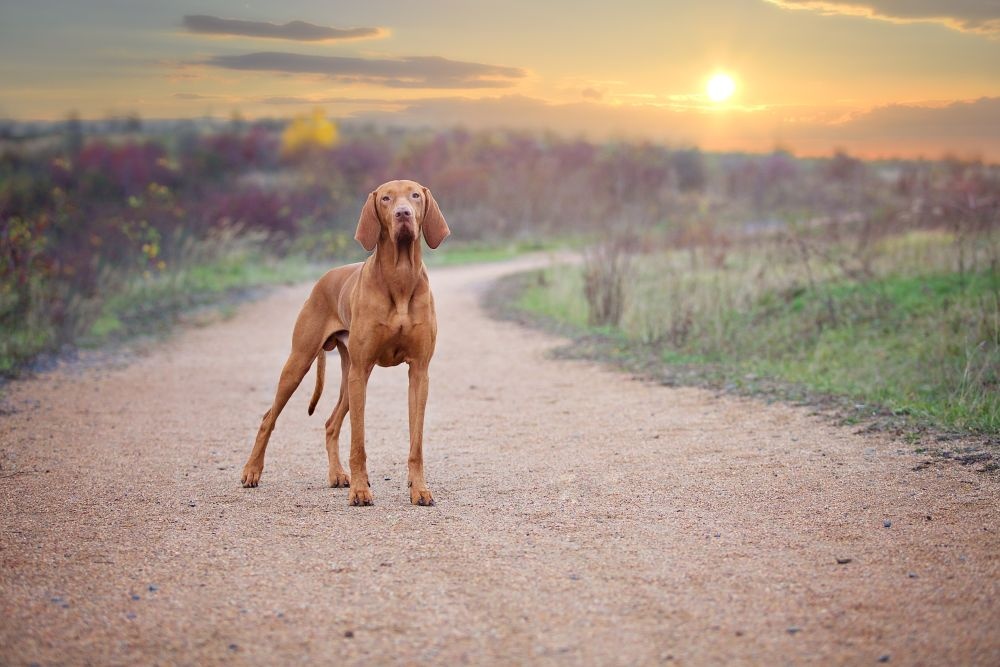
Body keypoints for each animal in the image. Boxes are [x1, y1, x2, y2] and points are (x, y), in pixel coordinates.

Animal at [240, 179, 448, 506]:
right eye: (386, 198)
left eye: (415, 195)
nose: (403, 214)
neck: (401, 276)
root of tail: (325, 277)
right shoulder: (361, 372)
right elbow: (358, 443)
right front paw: (361, 490)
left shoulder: (419, 373)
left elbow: (416, 444)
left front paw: (419, 489)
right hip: (304, 363)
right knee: (268, 417)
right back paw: (252, 471)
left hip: (351, 376)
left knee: (330, 423)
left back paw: (337, 474)